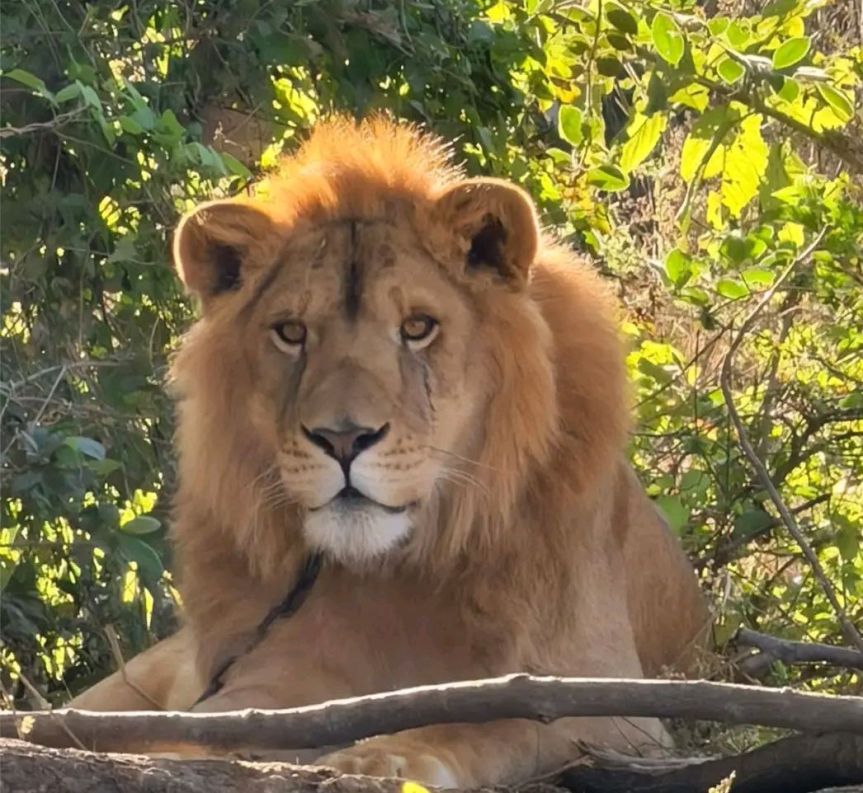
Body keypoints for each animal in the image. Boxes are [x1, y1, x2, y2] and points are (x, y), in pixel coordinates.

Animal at [70, 116, 709, 787]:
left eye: (417, 327)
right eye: (291, 332)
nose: (343, 439)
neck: (397, 569)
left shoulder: (614, 705)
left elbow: (497, 721)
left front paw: (379, 756)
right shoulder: (272, 678)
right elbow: (208, 729)